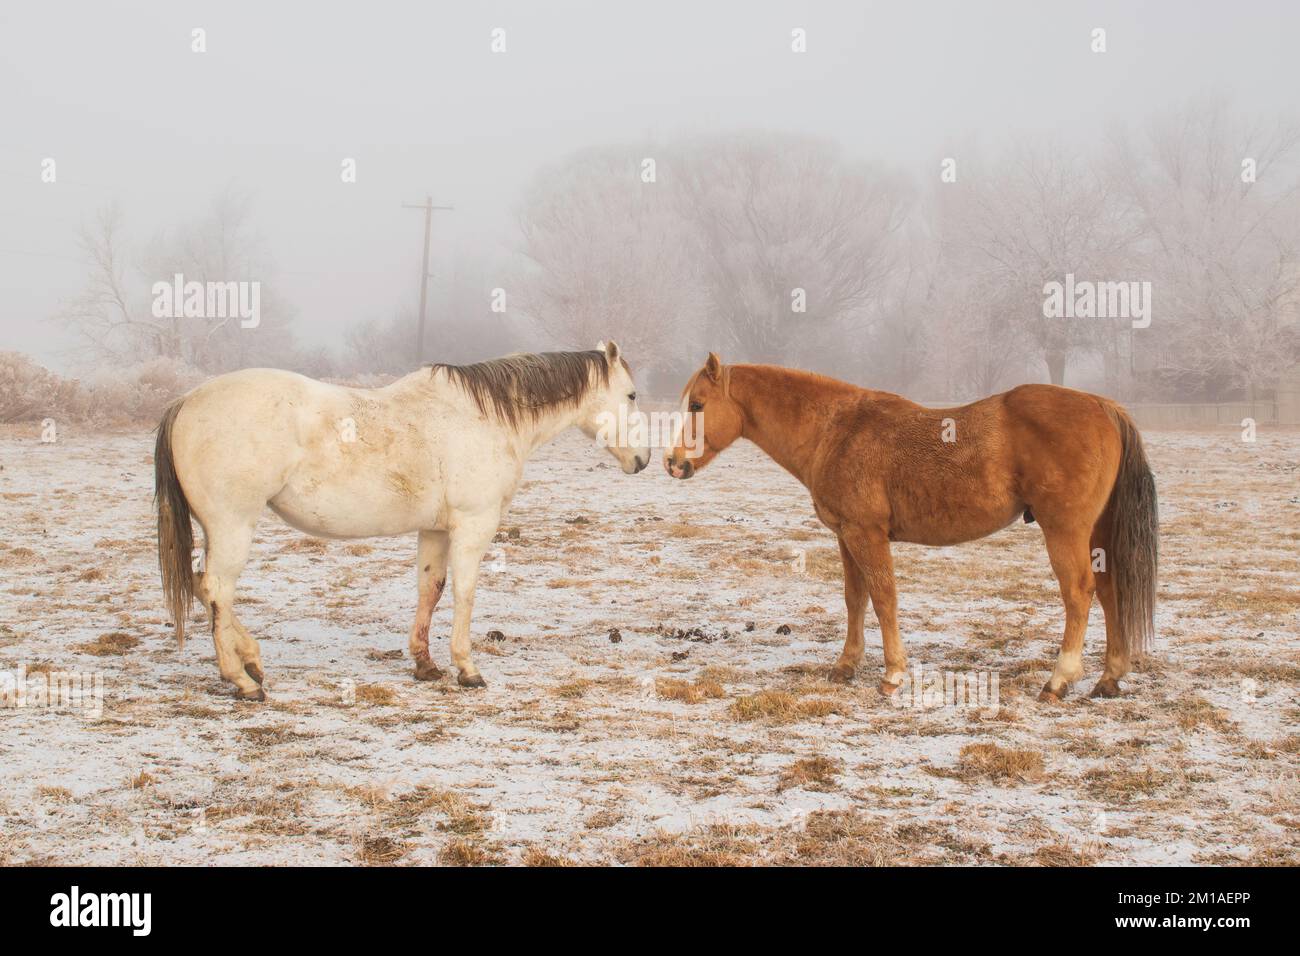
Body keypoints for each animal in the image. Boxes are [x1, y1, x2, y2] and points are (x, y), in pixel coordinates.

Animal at [154, 343, 650, 700]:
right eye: (630, 394)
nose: (644, 459)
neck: (484, 418)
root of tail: (185, 401)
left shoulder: (435, 530)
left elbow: (431, 589)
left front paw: (425, 664)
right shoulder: (473, 526)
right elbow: (465, 593)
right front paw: (467, 668)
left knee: (202, 586)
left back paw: (253, 661)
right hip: (233, 527)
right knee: (217, 589)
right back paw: (242, 680)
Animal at [665, 353, 1158, 702]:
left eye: (698, 404)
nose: (673, 463)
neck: (836, 430)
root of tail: (1102, 406)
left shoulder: (867, 534)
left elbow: (884, 598)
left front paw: (893, 674)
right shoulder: (846, 535)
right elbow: (856, 599)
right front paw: (846, 665)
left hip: (1064, 532)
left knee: (1079, 593)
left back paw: (1059, 680)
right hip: (1096, 534)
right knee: (1110, 590)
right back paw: (1109, 677)